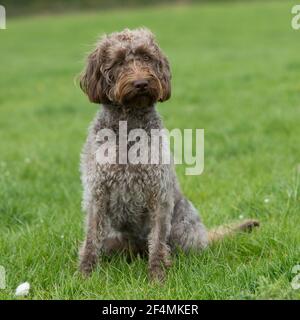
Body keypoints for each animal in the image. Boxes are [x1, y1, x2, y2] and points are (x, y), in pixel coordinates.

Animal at [78, 28, 258, 282]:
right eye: (119, 61)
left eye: (146, 56)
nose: (141, 83)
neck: (129, 125)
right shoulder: (97, 194)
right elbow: (91, 239)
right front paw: (85, 275)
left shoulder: (159, 194)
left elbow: (157, 241)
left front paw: (157, 277)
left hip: (185, 230)